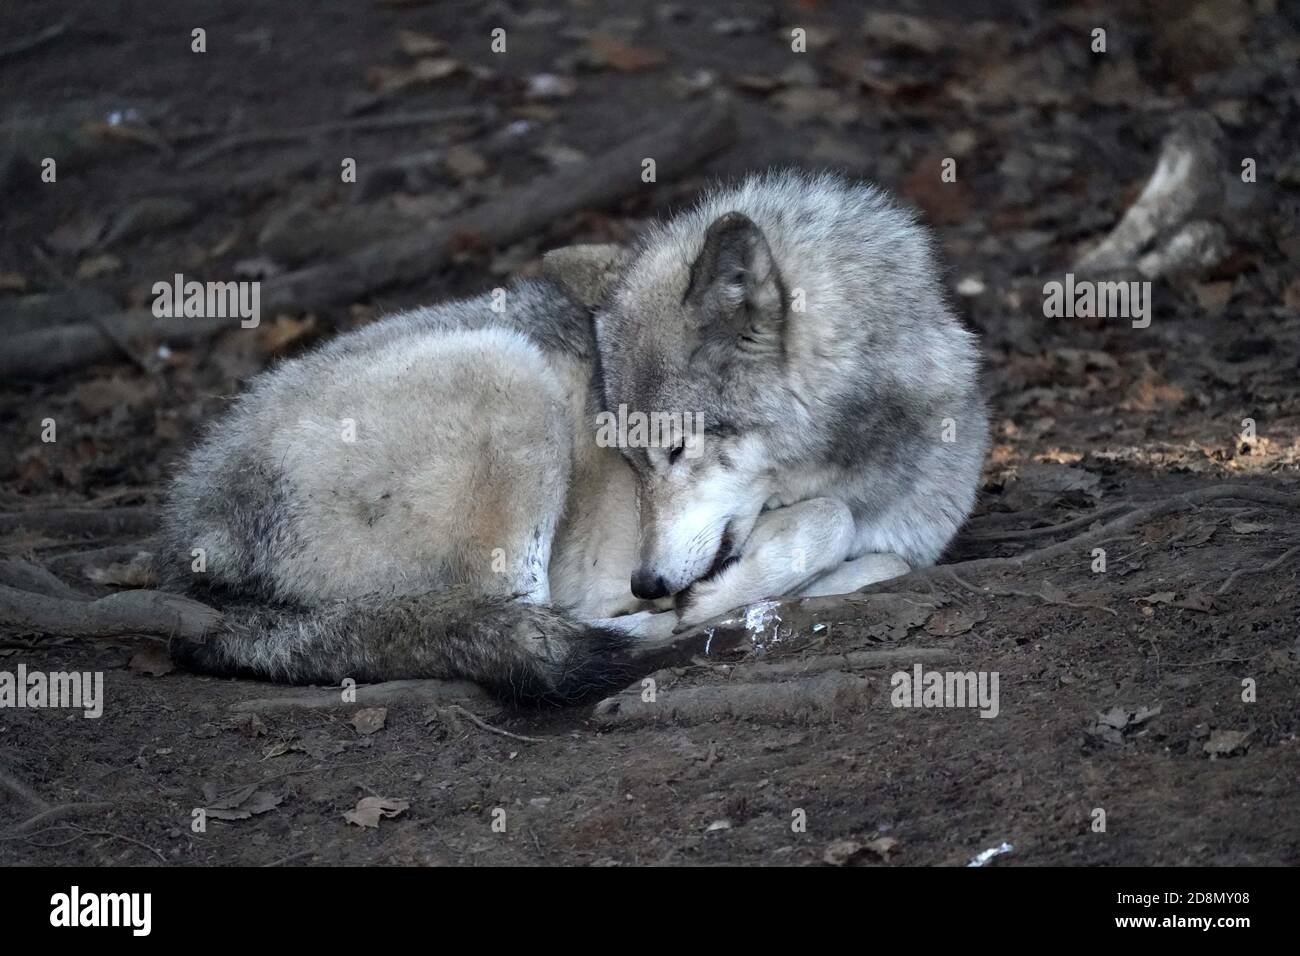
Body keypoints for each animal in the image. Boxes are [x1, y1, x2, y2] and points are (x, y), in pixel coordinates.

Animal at [159, 171, 982, 702]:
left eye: (674, 450)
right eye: (631, 462)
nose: (648, 581)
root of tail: (192, 529)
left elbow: (873, 556)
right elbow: (829, 522)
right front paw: (719, 595)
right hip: (506, 374)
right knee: (520, 622)